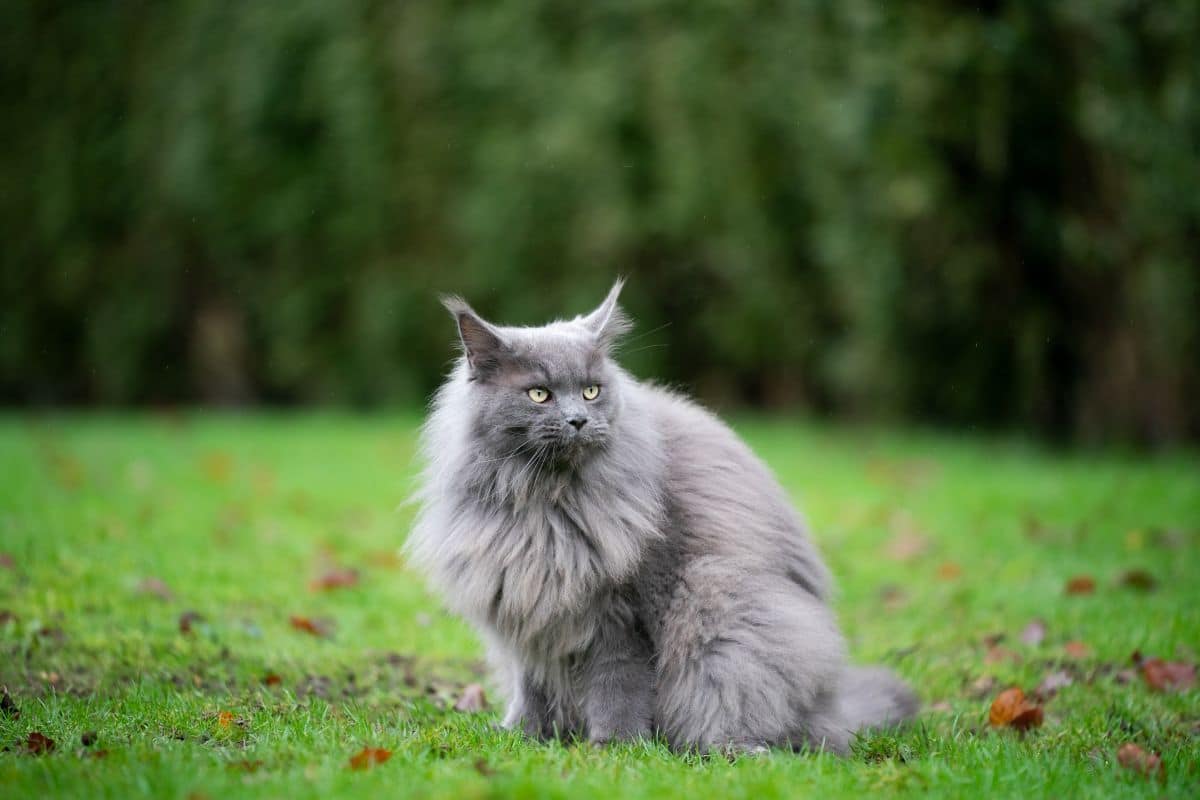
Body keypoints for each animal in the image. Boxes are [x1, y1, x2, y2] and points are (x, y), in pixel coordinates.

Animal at [405, 281, 916, 758]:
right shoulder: (526, 607)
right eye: (539, 394)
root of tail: (833, 706)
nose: (577, 420)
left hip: (722, 608)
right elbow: (533, 687)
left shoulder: (619, 616)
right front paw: (527, 738)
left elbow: (618, 687)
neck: (544, 507)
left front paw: (613, 748)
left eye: (591, 391)